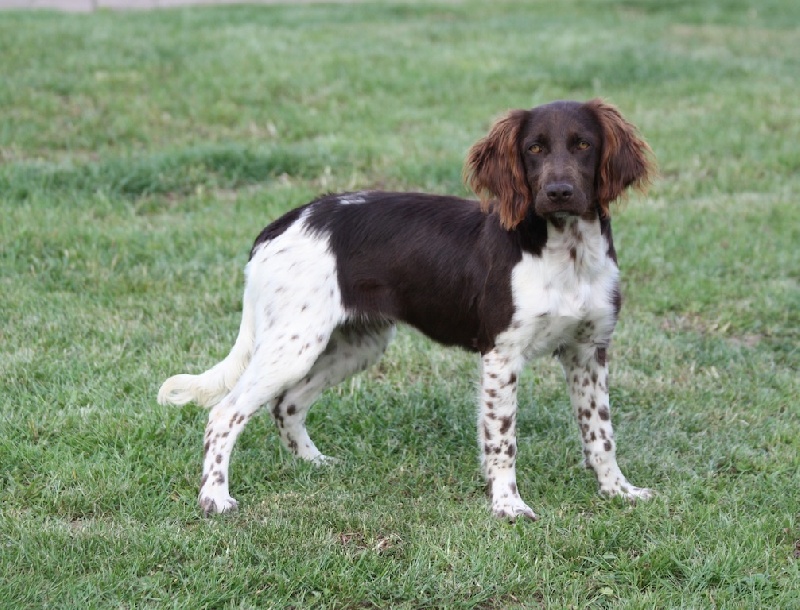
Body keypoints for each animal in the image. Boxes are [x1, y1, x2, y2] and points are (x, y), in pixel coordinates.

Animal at [158, 100, 656, 516]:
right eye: (534, 148)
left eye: (583, 145)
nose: (559, 191)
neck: (566, 254)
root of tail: (280, 225)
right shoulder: (501, 354)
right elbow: (503, 440)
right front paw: (507, 505)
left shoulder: (588, 351)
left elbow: (601, 434)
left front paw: (618, 491)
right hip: (294, 344)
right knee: (225, 413)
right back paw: (214, 497)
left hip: (356, 344)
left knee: (287, 404)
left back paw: (315, 463)